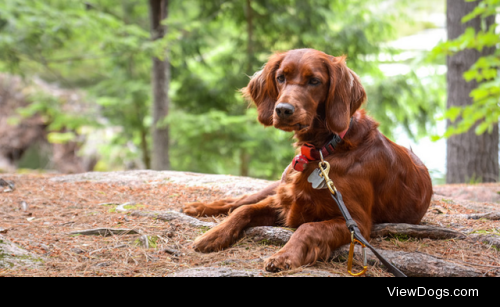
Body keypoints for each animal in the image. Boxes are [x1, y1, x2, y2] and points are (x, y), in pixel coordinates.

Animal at [182, 49, 432, 274]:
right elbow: (244, 210)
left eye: (314, 81)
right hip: (278, 186)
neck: (325, 148)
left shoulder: (357, 224)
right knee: (240, 200)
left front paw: (284, 256)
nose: (283, 110)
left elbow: (307, 227)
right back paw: (198, 206)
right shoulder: (283, 201)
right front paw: (213, 235)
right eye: (281, 77)